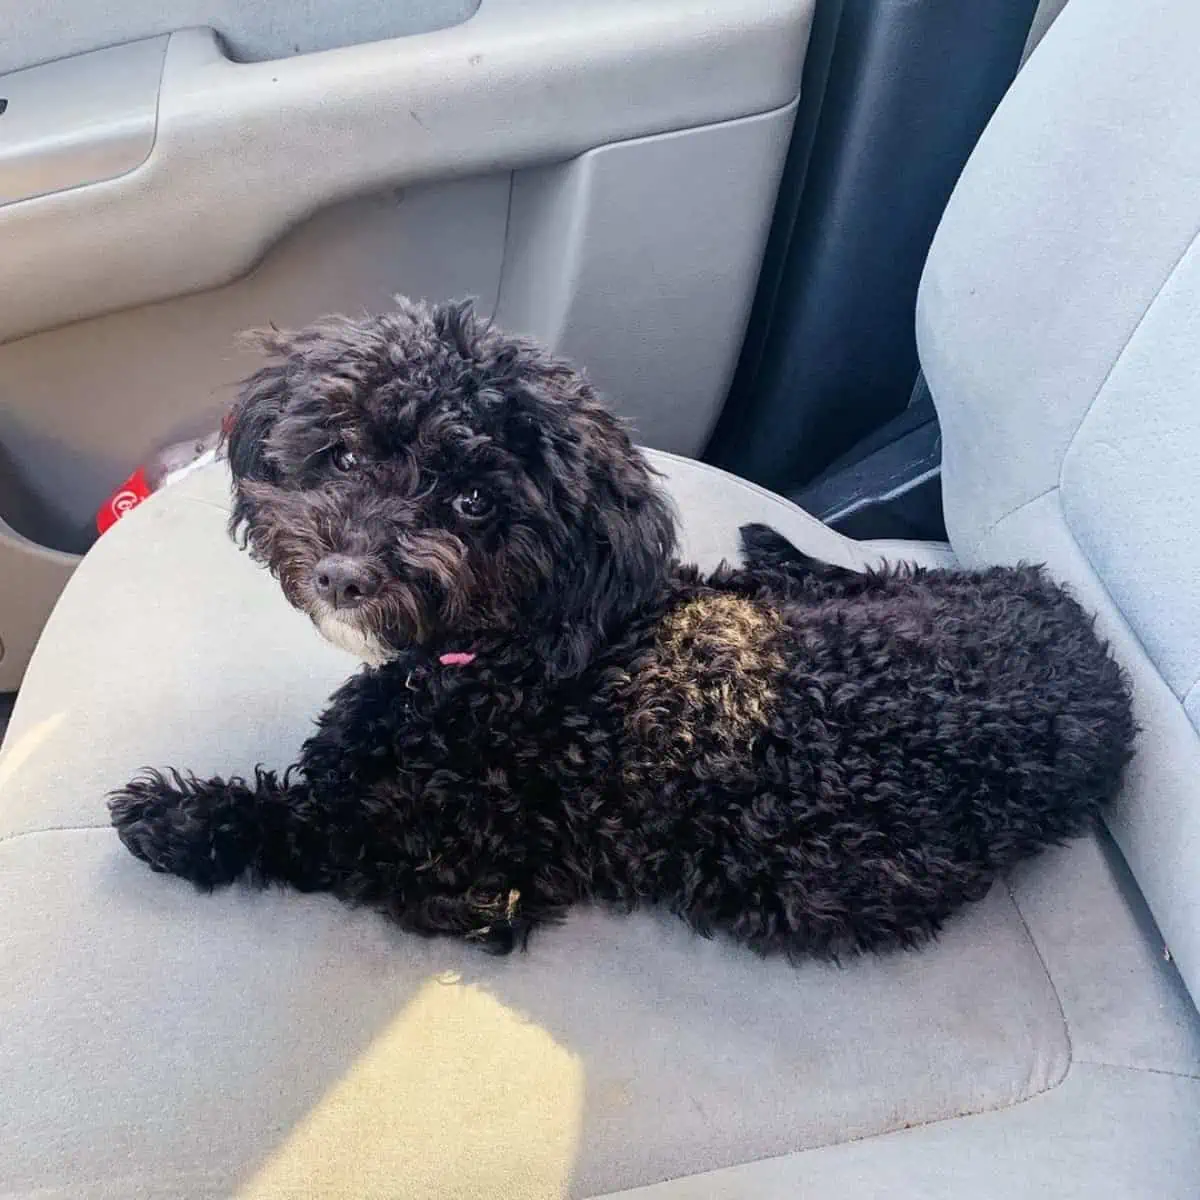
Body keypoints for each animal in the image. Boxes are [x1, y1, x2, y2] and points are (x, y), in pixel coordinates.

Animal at [108, 300, 1137, 955]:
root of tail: (1076, 629)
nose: (342, 574)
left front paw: (179, 817)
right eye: (347, 454)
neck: (515, 669)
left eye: (475, 502)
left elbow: (313, 826)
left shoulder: (464, 880)